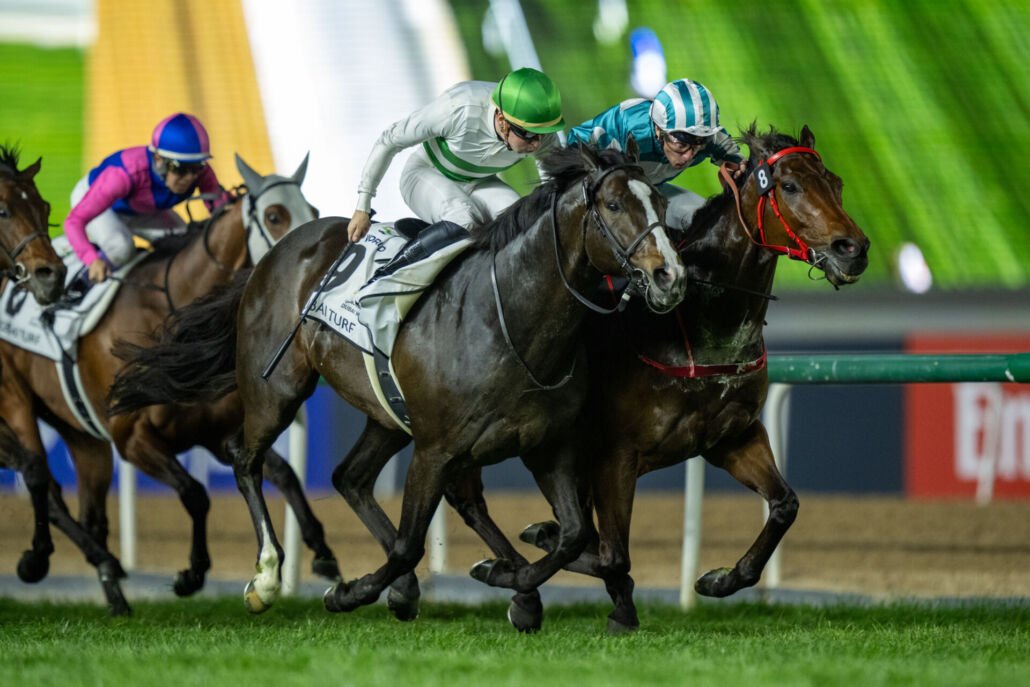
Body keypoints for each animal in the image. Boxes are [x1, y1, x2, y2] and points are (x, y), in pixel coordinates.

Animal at [0, 153, 330, 614]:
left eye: (313, 210)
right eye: (274, 215)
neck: (170, 312)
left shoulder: (213, 431)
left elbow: (283, 473)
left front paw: (323, 553)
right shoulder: (132, 438)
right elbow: (196, 493)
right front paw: (191, 574)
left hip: (83, 436)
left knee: (88, 510)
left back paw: (114, 593)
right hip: (16, 403)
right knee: (41, 479)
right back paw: (44, 560)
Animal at [107, 142, 689, 616]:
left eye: (661, 206)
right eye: (614, 206)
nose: (670, 277)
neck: (509, 320)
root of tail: (274, 253)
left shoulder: (546, 444)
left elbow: (574, 535)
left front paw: (510, 577)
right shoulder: (435, 449)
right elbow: (412, 542)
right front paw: (349, 591)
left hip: (385, 413)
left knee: (350, 477)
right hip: (276, 390)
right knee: (245, 459)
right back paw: (268, 578)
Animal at [450, 123, 871, 632]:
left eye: (836, 182)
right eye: (789, 186)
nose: (853, 250)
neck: (693, 324)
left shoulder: (731, 437)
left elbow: (785, 505)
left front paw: (720, 579)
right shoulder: (613, 454)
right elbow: (612, 552)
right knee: (468, 499)